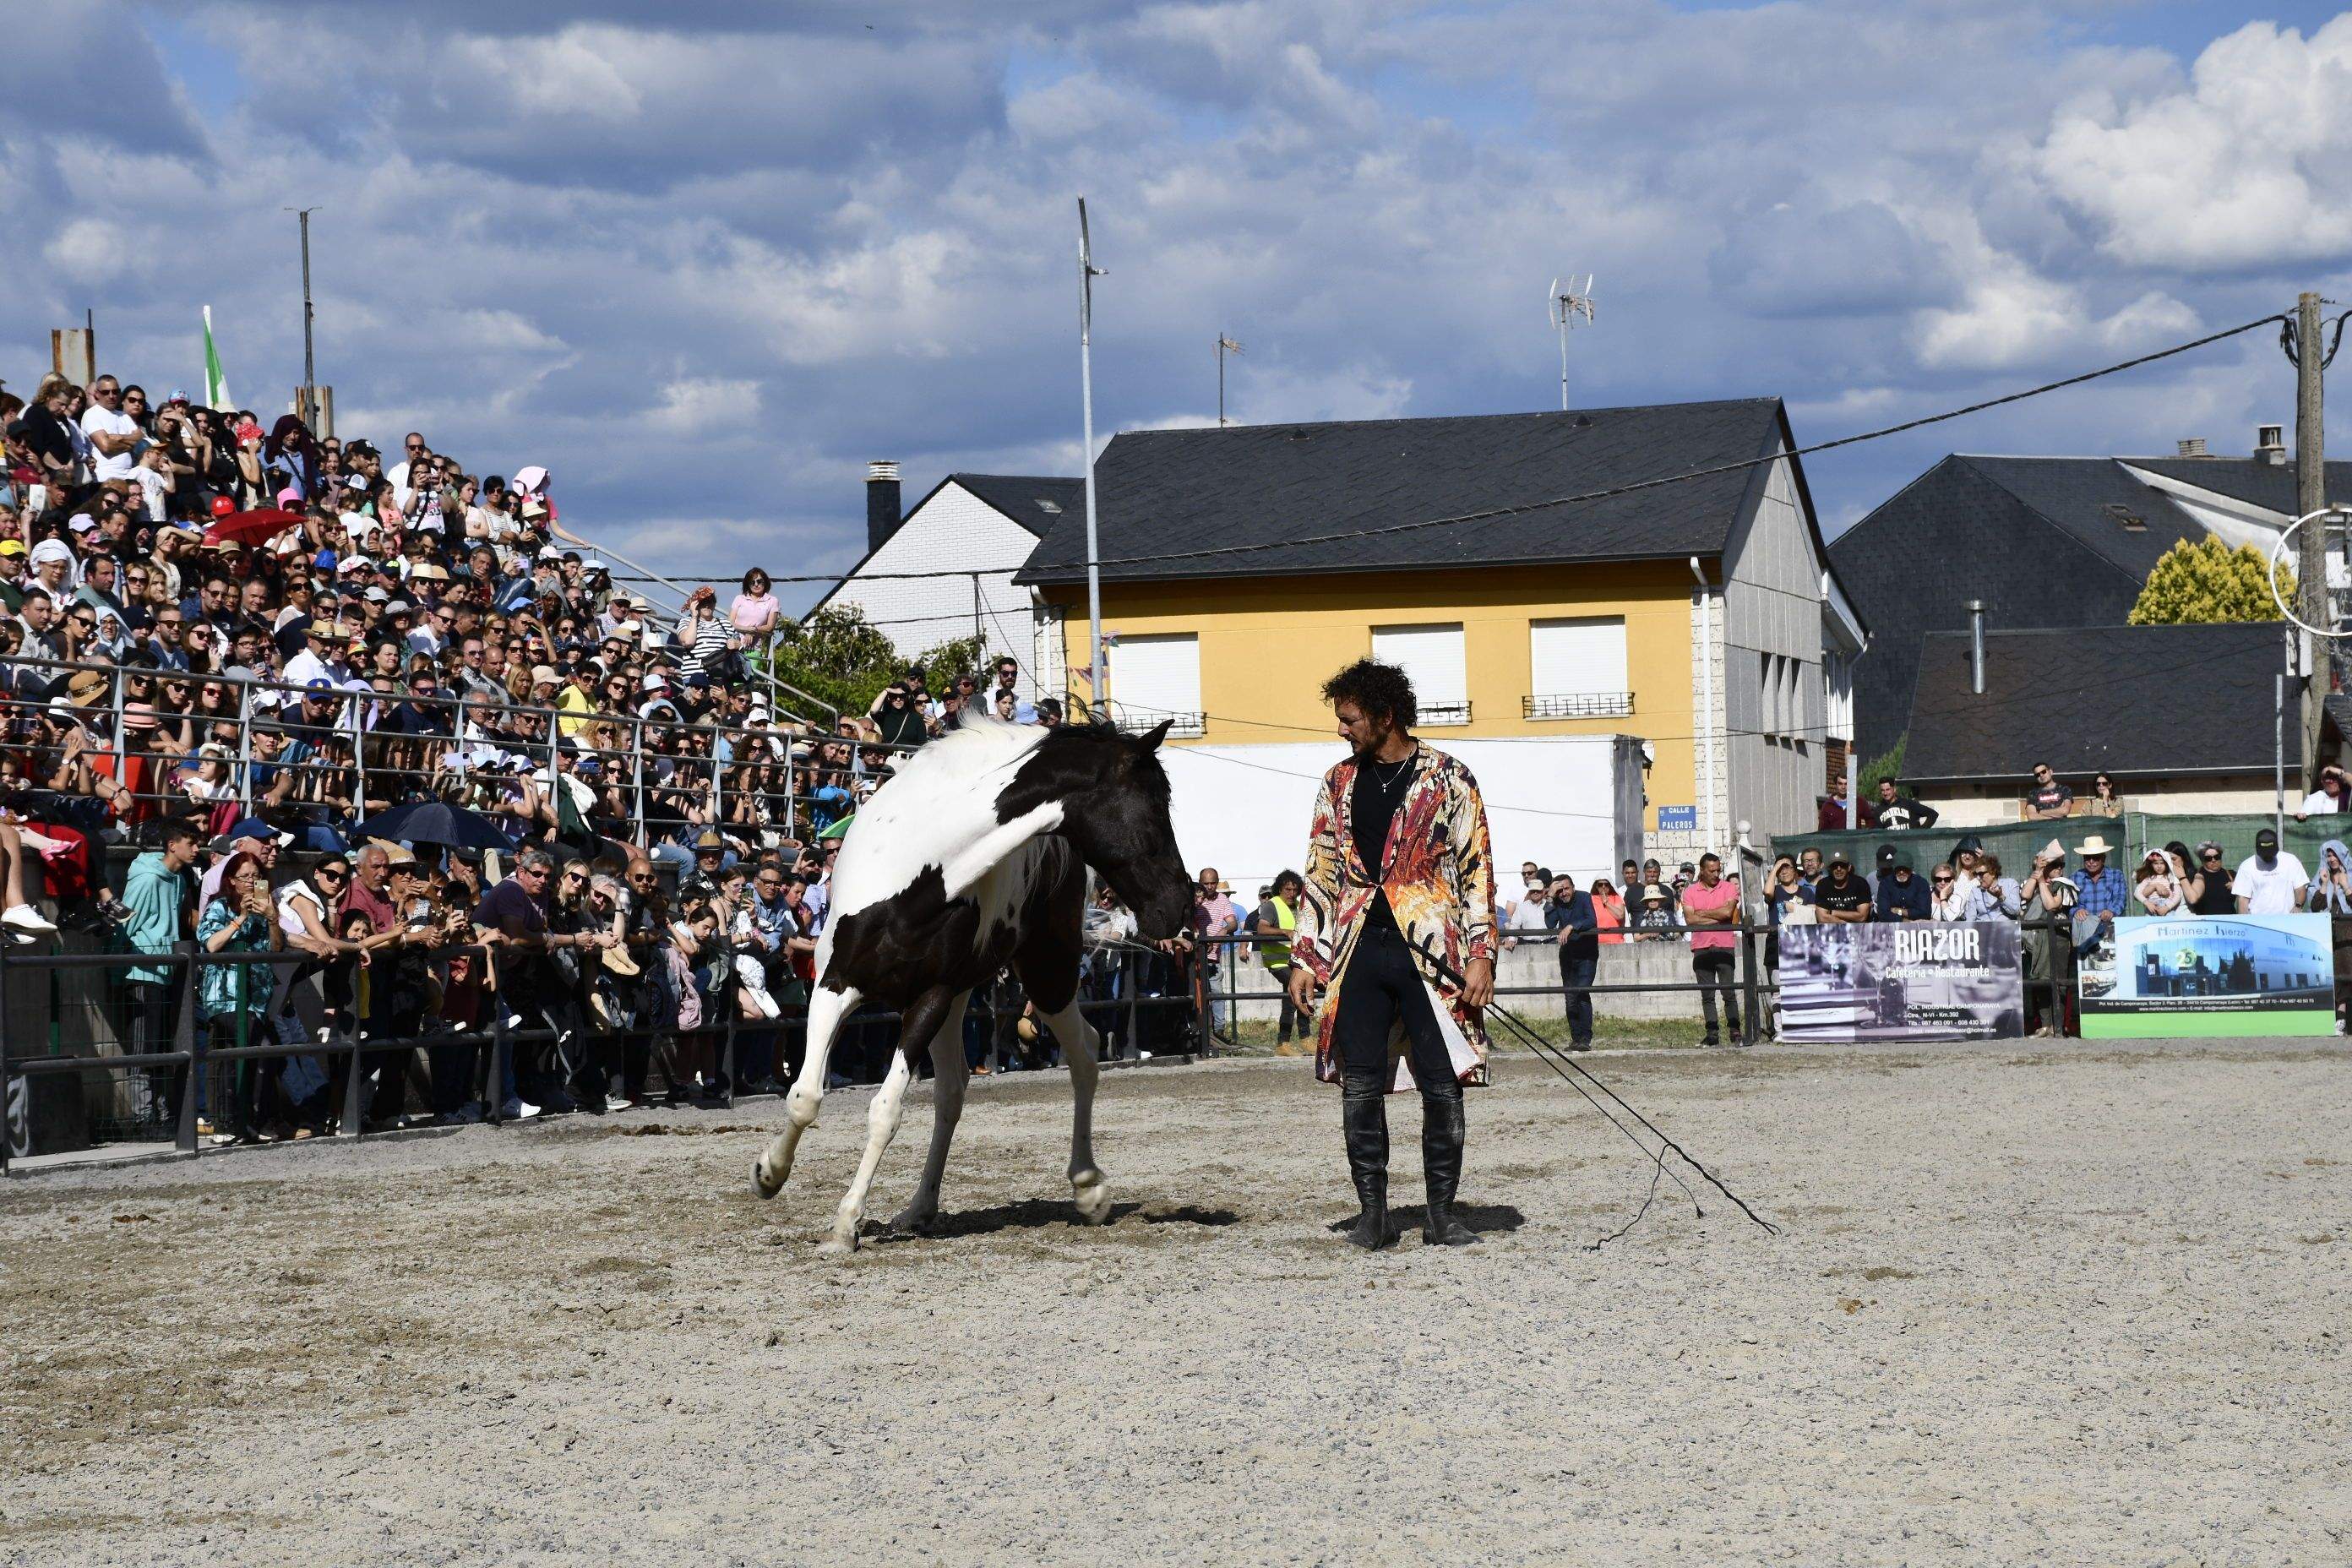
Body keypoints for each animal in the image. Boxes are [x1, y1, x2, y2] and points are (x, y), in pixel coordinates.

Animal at [752, 719, 1195, 1260]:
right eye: (1154, 807)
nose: (1180, 906)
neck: (924, 865)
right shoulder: (835, 985)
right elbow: (805, 1096)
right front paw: (769, 1175)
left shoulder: (930, 998)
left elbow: (885, 1112)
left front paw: (844, 1224)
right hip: (973, 996)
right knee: (954, 1091)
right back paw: (921, 1209)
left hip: (1045, 976)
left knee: (1084, 1054)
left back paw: (1088, 1187)